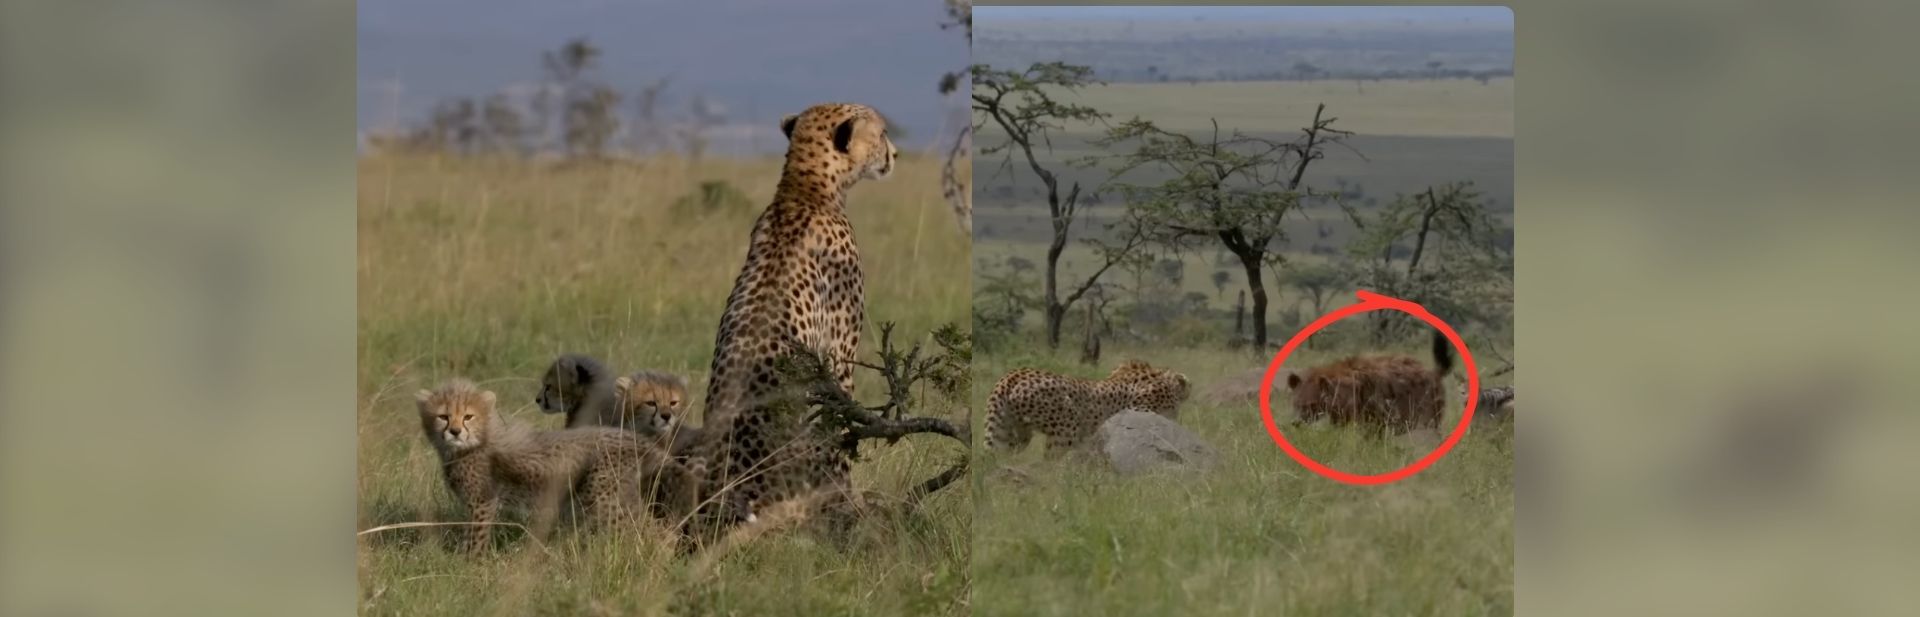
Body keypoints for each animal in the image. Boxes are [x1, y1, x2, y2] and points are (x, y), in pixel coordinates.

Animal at [415, 378, 695, 552]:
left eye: (468, 416)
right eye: (443, 416)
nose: (454, 431)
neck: (475, 442)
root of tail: (634, 438)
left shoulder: (483, 502)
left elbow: (477, 537)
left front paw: (471, 564)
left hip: (603, 497)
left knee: (643, 529)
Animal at [1285, 330, 1455, 437]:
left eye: (1311, 404)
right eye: (1296, 403)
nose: (1295, 422)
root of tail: (1433, 372)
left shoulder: (1364, 412)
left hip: (1426, 406)